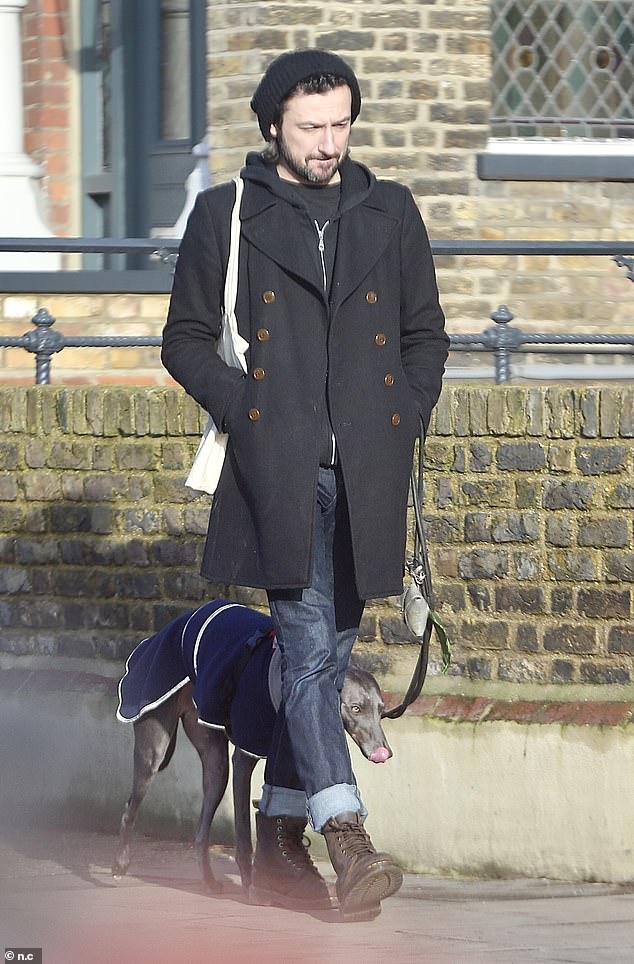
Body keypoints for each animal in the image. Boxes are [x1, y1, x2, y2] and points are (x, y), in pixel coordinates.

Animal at [113, 600, 390, 892]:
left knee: (200, 832)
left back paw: (209, 880)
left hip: (215, 763)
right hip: (153, 748)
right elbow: (244, 835)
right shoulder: (243, 759)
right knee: (130, 809)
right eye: (356, 708)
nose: (383, 753)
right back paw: (120, 865)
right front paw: (252, 887)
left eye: (381, 711)